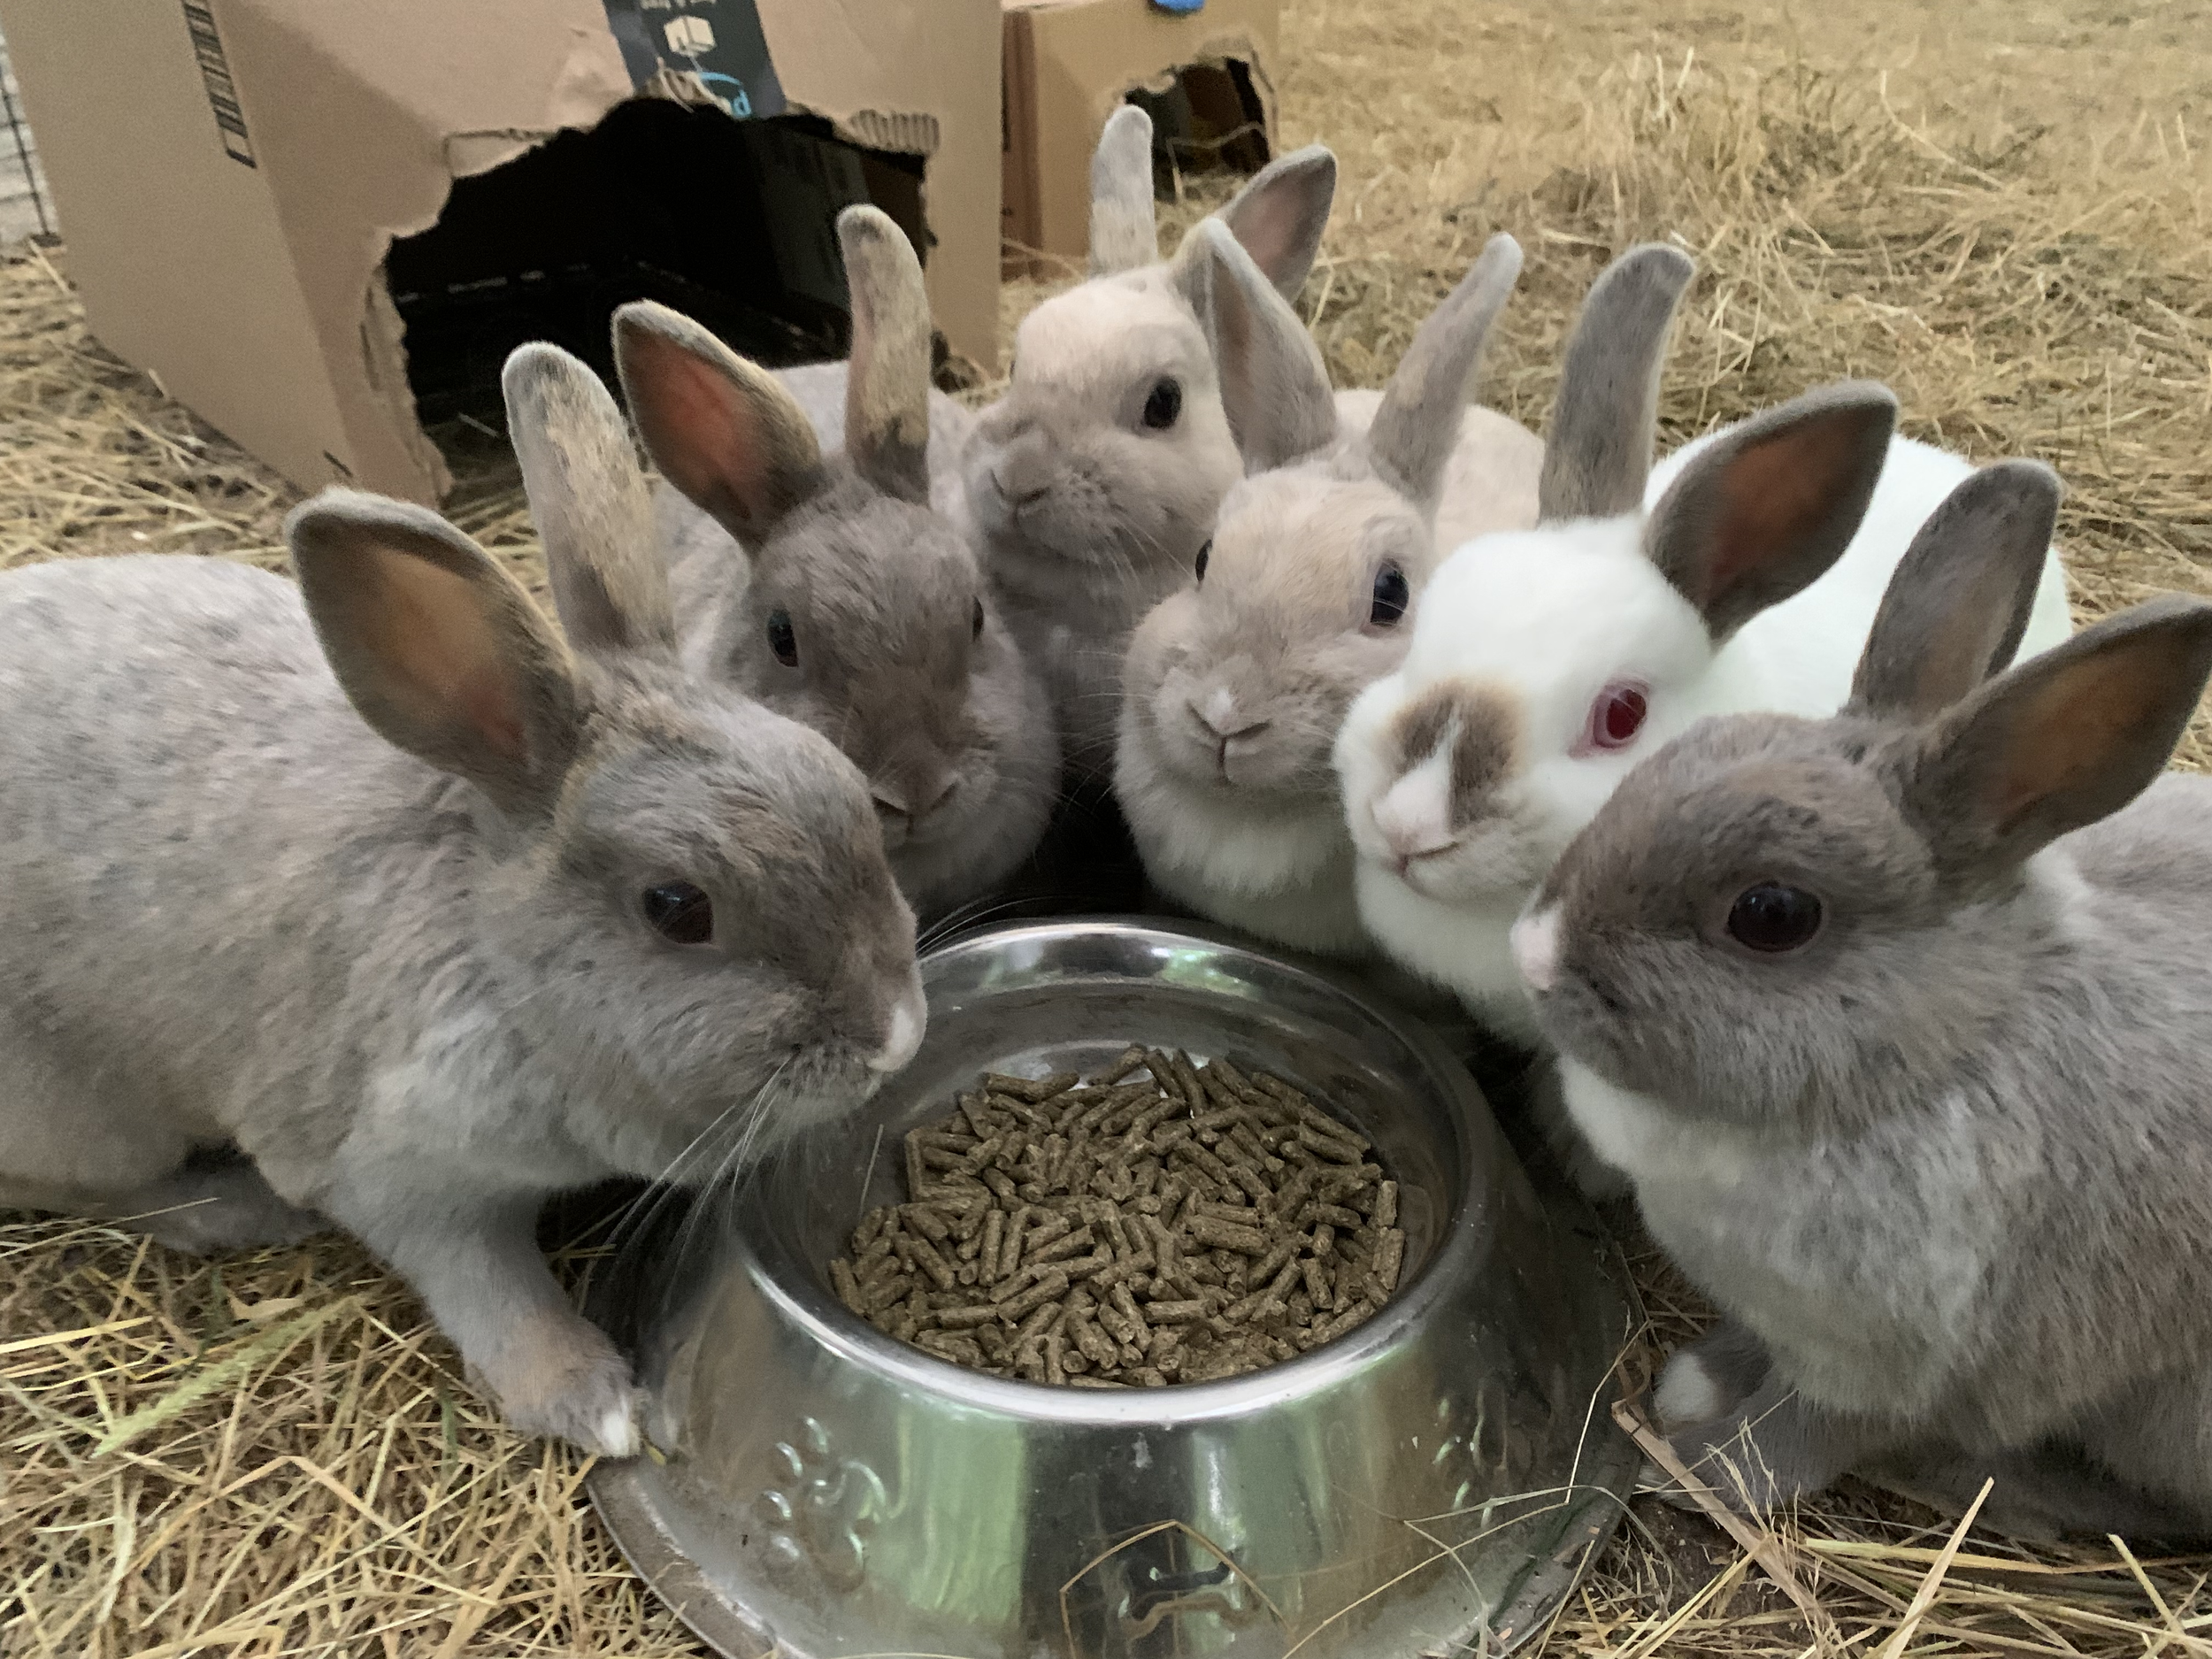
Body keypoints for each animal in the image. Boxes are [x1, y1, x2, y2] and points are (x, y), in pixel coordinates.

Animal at [0, 340, 926, 1458]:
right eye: (677, 908)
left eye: (846, 789)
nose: (895, 1036)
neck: (500, 963)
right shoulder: (402, 1175)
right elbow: (491, 1292)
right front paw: (601, 1406)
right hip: (83, 1112)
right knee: (97, 1191)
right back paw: (232, 1208)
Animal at [1508, 457, 2212, 1541]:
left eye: (1772, 914)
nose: (1533, 954)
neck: (1939, 1053)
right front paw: (1698, 1380)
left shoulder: (1886, 1365)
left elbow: (1799, 1436)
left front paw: (1701, 1468)